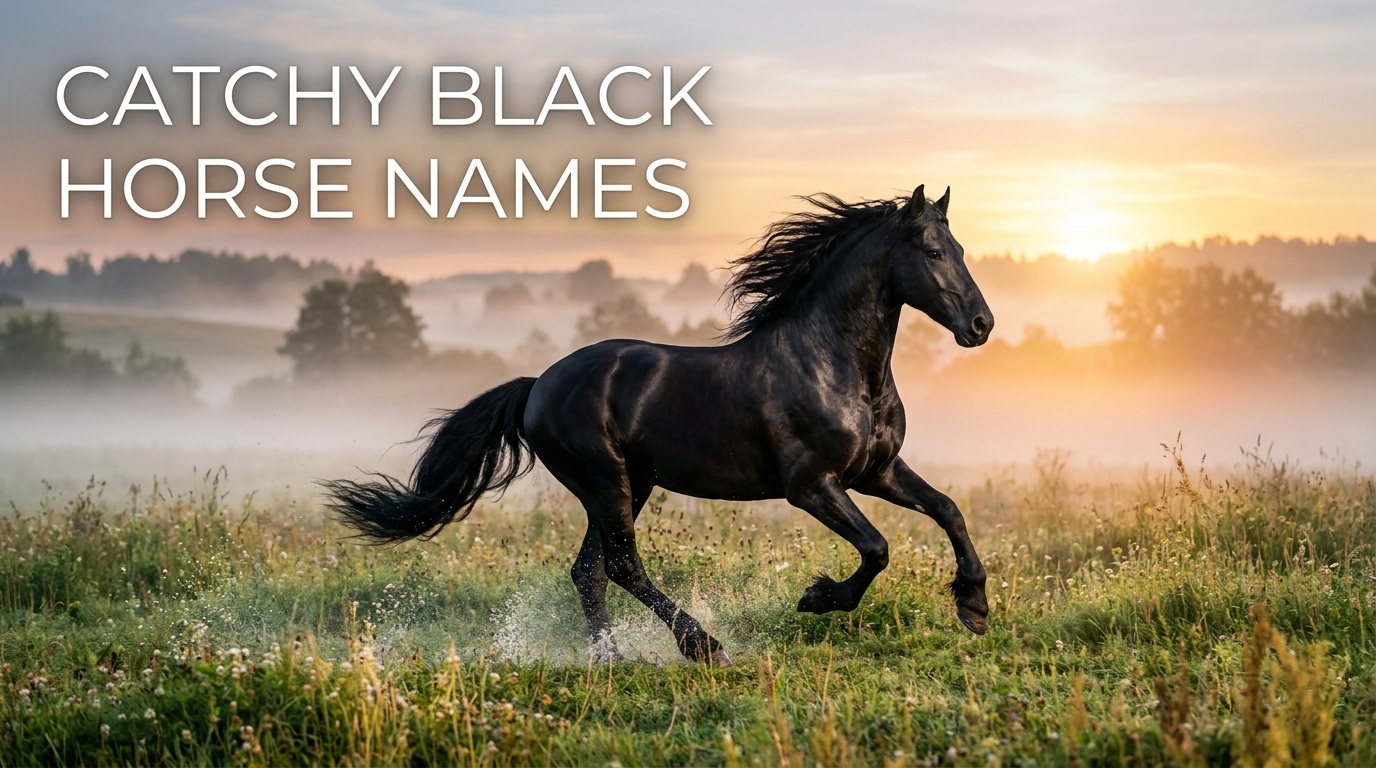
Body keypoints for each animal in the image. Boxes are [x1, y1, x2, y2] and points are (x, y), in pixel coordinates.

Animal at [325, 185, 994, 666]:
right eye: (933, 253)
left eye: (961, 251)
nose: (981, 325)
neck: (835, 366)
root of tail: (538, 385)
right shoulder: (812, 486)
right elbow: (877, 548)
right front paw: (818, 598)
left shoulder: (876, 471)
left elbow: (948, 510)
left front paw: (975, 604)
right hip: (607, 482)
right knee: (622, 566)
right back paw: (704, 647)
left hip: (630, 484)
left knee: (590, 570)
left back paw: (612, 658)